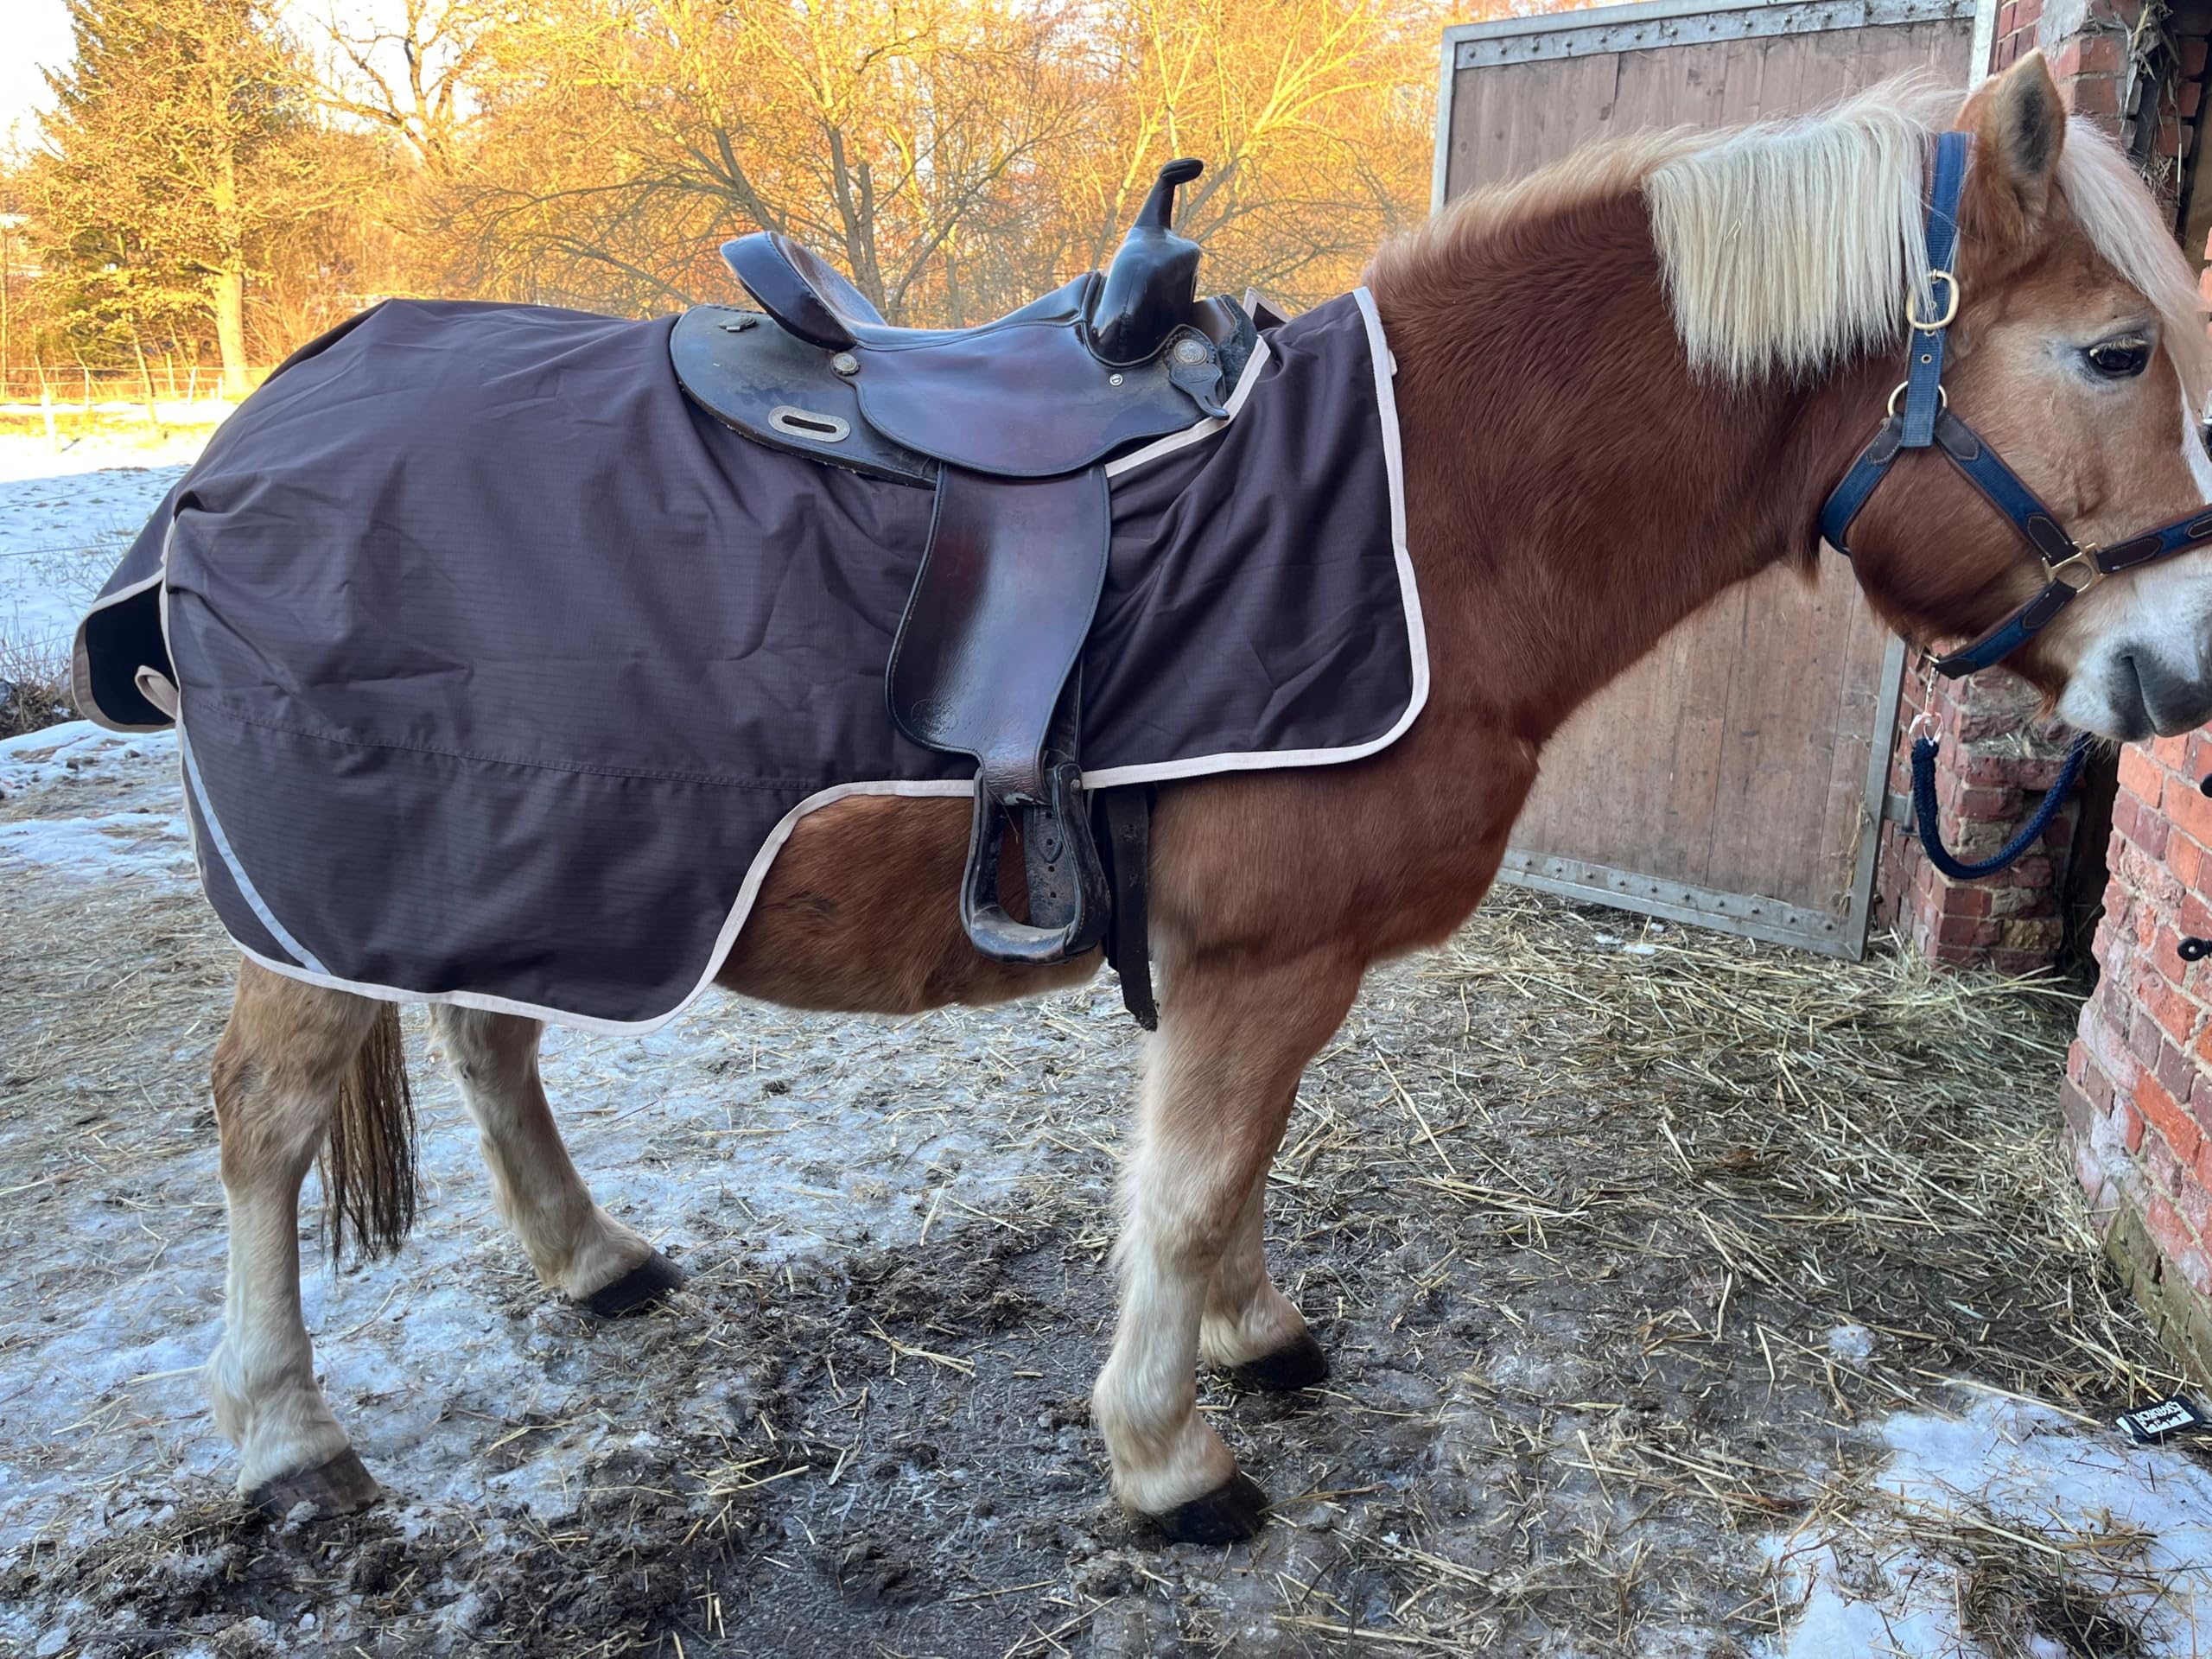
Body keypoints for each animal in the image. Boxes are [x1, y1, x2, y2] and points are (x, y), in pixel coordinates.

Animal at [193, 53, 2212, 1544]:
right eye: (2118, 352)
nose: (2182, 671)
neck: (1427, 516)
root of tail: (266, 423)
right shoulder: (1253, 957)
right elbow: (1179, 1190)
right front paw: (1169, 1461)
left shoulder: (1287, 966)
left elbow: (1252, 1157)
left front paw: (1252, 1336)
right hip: (354, 897)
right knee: (265, 1127)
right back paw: (285, 1439)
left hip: (534, 866)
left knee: (487, 1043)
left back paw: (589, 1261)